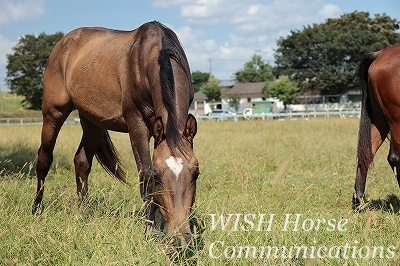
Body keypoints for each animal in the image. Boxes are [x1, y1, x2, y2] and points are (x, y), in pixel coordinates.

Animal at [32, 20, 200, 245]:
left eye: (196, 174)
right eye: (158, 177)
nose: (181, 239)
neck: (154, 54)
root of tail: (63, 42)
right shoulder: (136, 123)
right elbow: (144, 174)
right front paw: (148, 232)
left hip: (93, 123)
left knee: (81, 161)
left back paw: (84, 214)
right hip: (53, 113)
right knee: (44, 158)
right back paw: (37, 210)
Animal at [354, 43, 400, 209]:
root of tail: (379, 54)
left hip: (380, 119)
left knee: (366, 155)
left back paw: (359, 202)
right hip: (396, 119)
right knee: (395, 157)